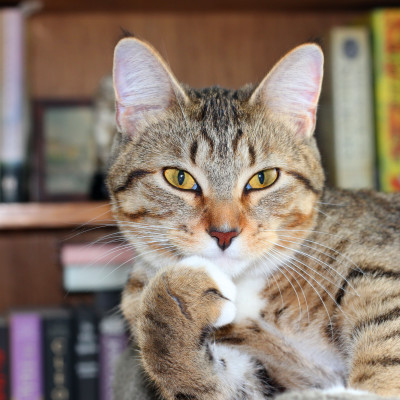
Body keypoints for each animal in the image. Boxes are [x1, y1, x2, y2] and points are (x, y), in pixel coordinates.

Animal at [106, 36, 400, 398]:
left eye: (263, 178)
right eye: (179, 178)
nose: (224, 233)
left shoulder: (378, 267)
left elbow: (386, 331)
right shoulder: (265, 375)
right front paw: (176, 299)